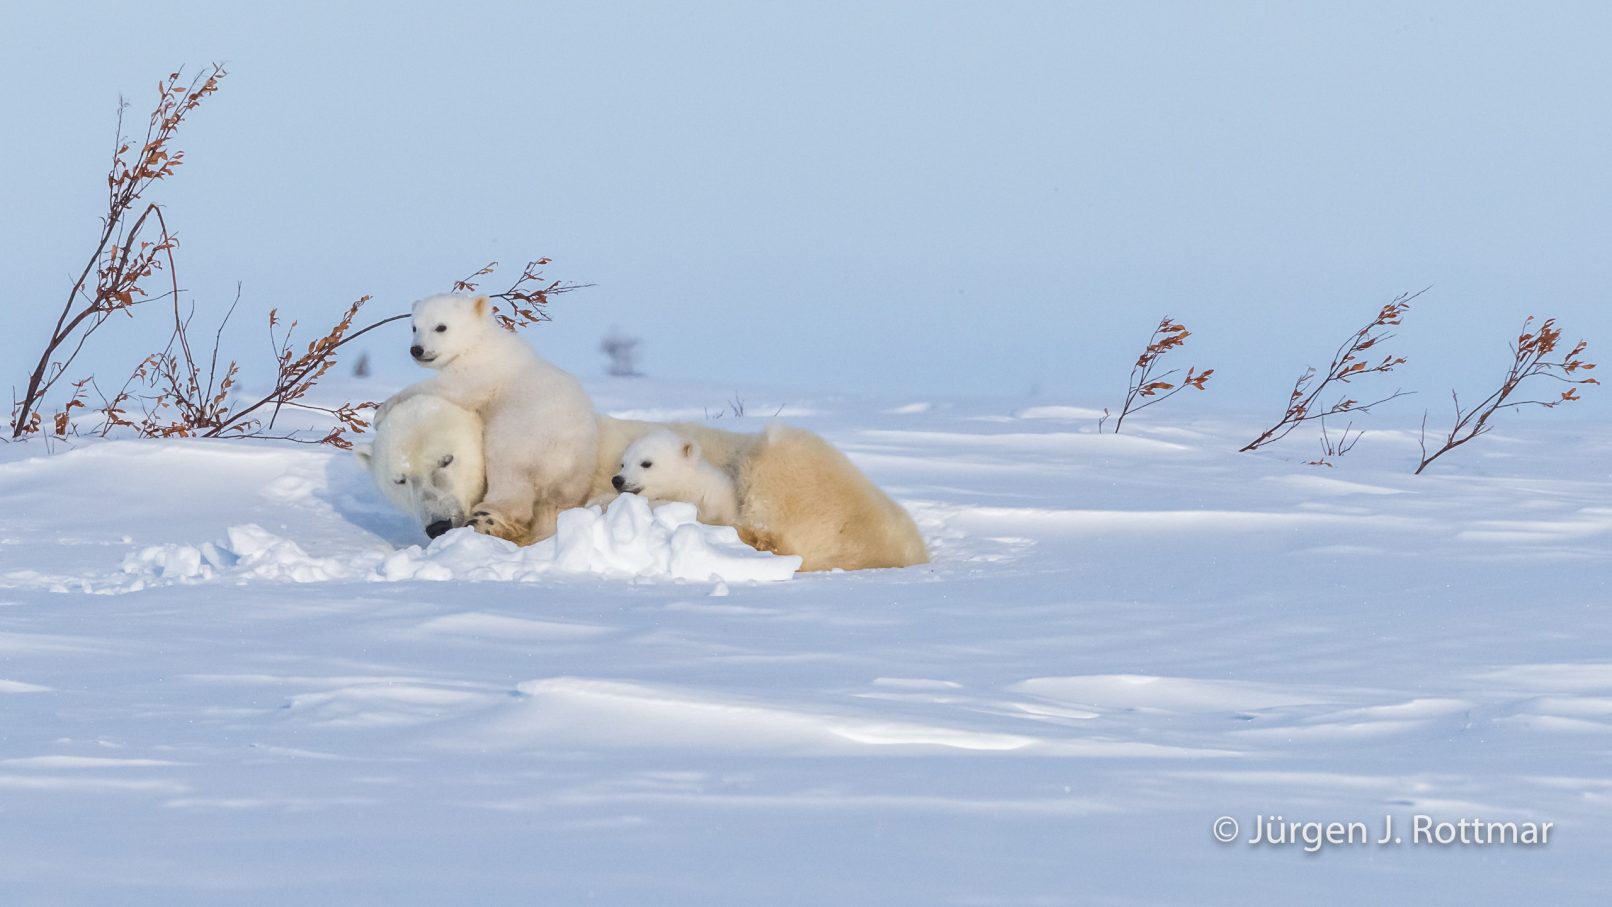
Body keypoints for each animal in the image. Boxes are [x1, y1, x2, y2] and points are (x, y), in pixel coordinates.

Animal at [376, 294, 598, 545]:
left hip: (524, 436)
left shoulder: (482, 368)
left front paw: (380, 411)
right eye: (414, 327)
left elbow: (453, 388)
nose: (417, 349)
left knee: (509, 475)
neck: (481, 340)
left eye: (441, 327)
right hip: (573, 474)